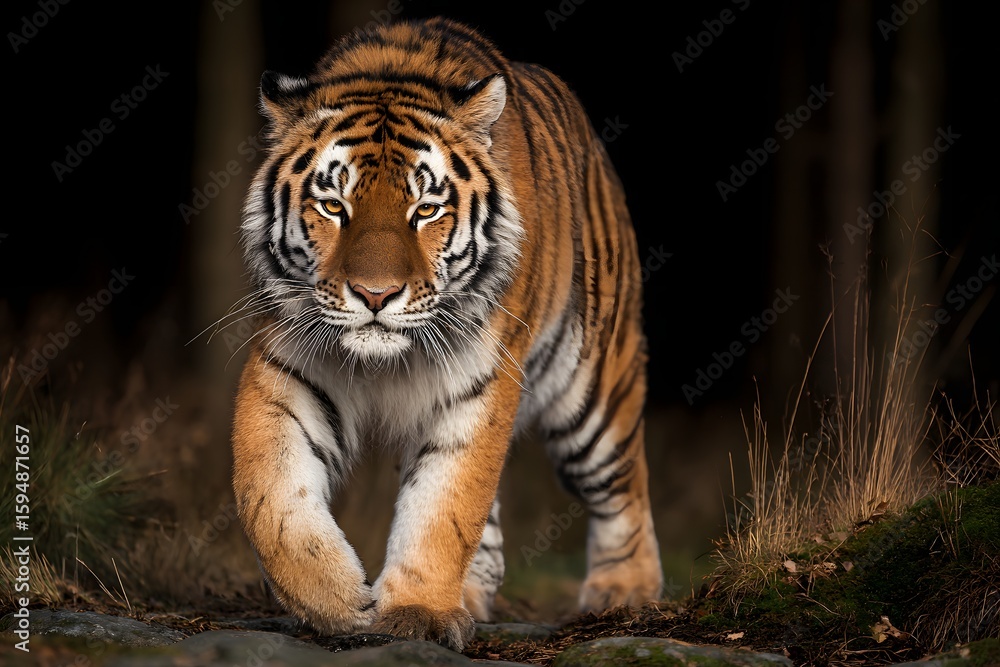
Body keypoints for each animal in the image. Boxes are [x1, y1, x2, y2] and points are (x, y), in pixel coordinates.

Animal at [231, 16, 662, 651]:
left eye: (426, 209)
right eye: (333, 206)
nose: (376, 295)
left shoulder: (478, 379)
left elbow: (445, 505)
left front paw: (418, 614)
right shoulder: (289, 366)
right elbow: (272, 498)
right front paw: (337, 601)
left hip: (594, 390)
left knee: (624, 481)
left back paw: (625, 590)